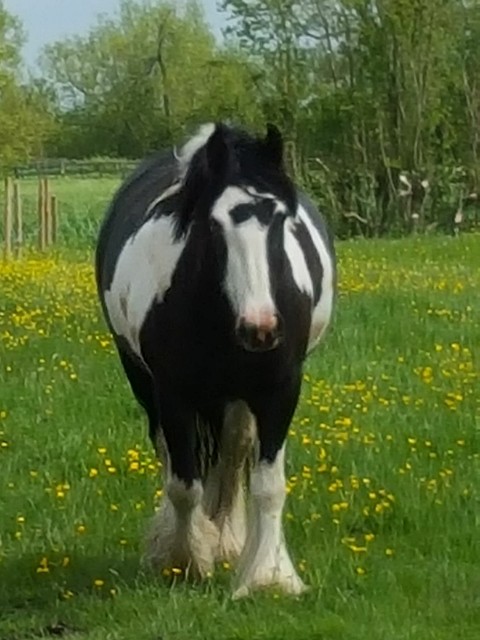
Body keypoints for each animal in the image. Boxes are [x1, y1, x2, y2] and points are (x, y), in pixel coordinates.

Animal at [95, 122, 336, 596]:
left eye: (281, 219)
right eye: (213, 223)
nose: (261, 328)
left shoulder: (281, 390)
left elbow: (268, 485)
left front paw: (269, 577)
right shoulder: (173, 394)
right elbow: (184, 485)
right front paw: (185, 561)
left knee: (233, 453)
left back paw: (228, 540)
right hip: (144, 383)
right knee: (172, 457)